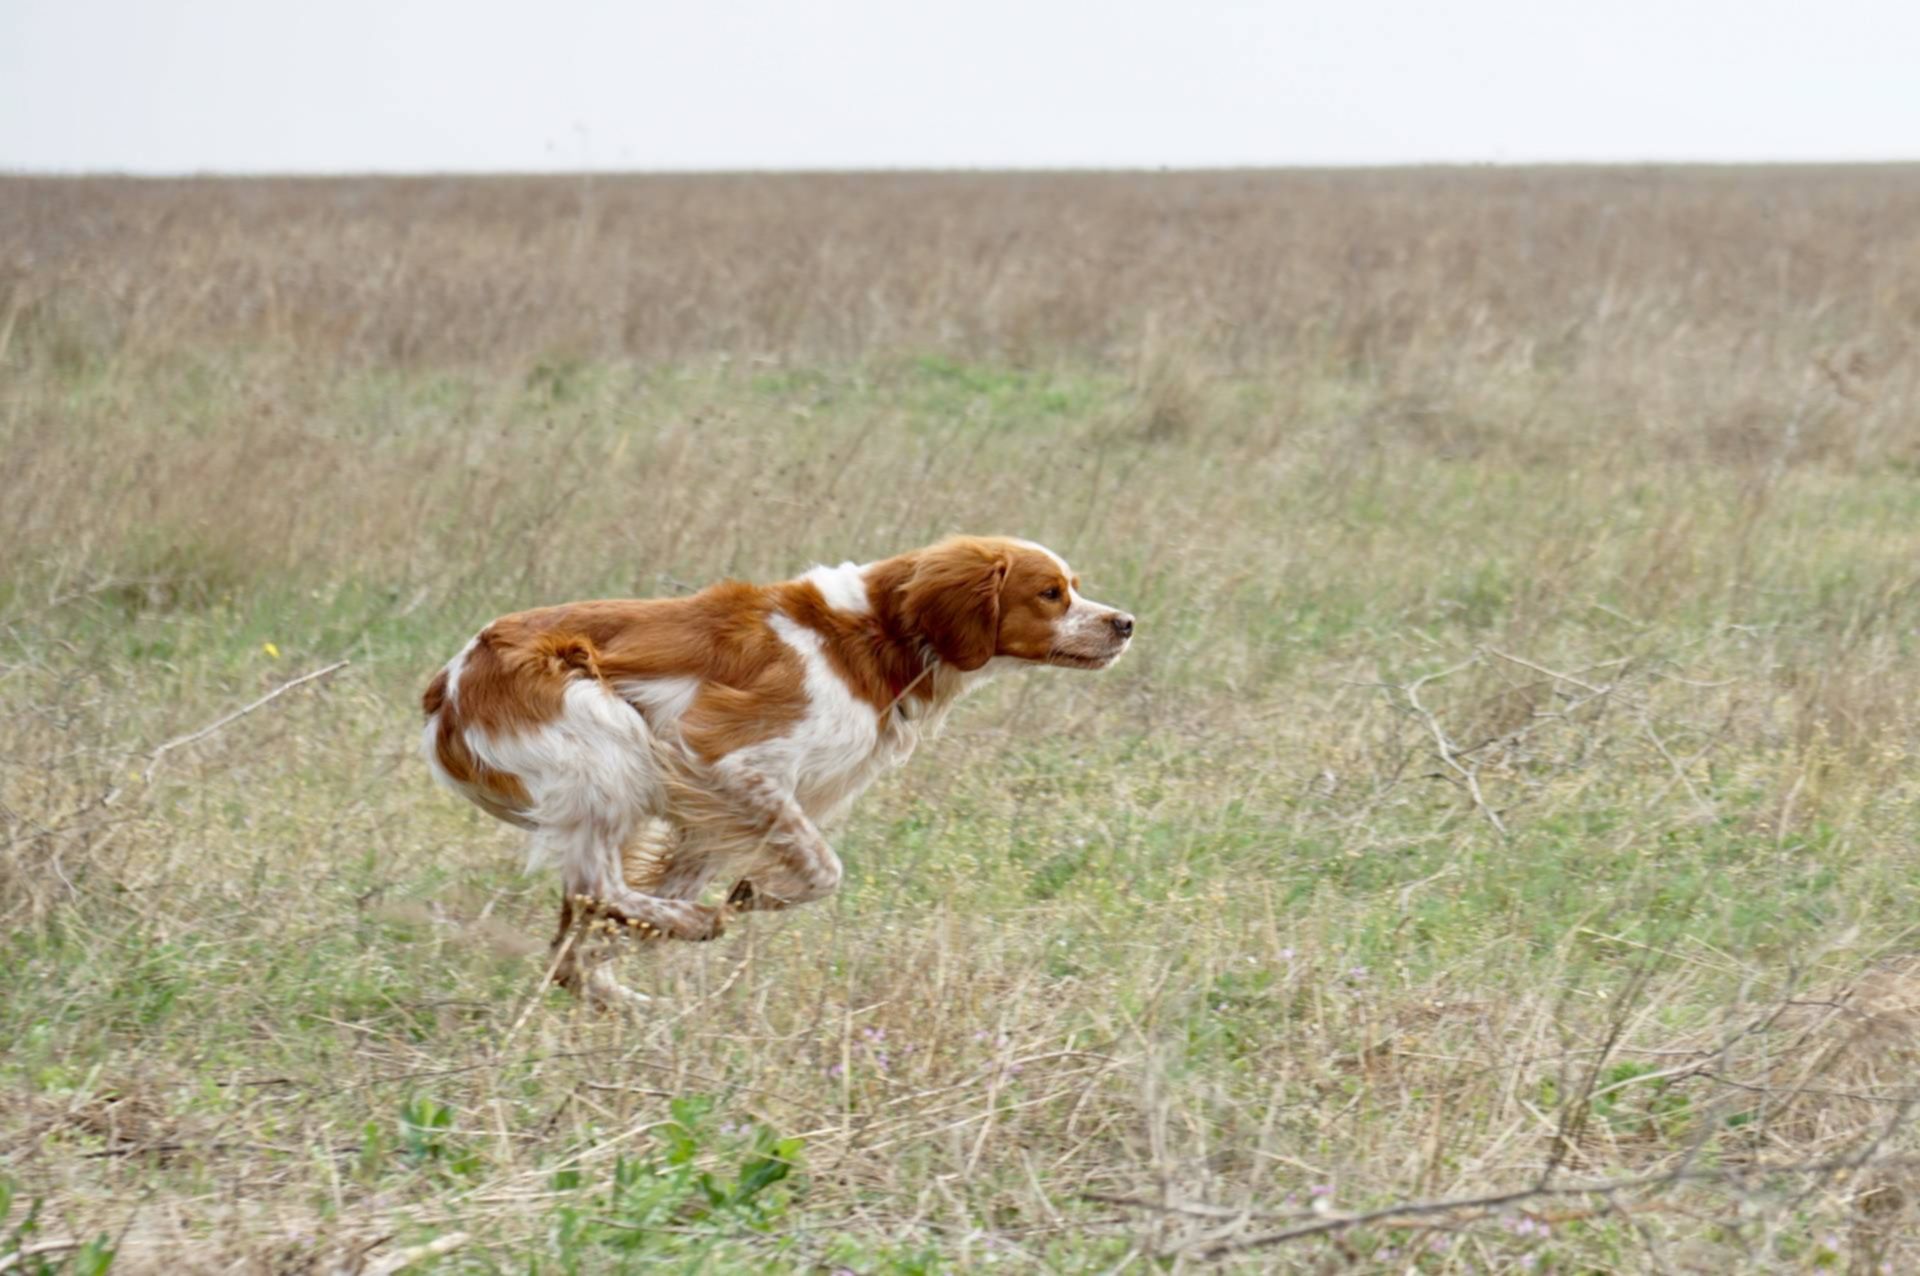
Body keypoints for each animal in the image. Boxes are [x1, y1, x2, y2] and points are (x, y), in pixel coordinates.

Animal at [420, 533, 1128, 997]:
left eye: (1075, 588)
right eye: (1051, 593)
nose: (1125, 622)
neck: (875, 636)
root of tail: (446, 685)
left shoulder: (709, 820)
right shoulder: (734, 763)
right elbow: (824, 870)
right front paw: (754, 895)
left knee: (579, 923)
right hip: (607, 740)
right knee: (598, 887)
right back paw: (691, 925)